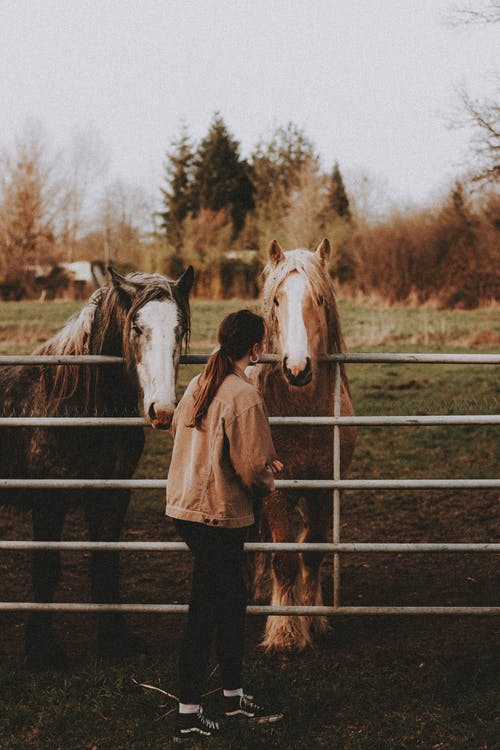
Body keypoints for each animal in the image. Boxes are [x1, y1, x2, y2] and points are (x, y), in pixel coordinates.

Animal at [0, 268, 193, 668]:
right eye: (136, 327)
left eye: (180, 327)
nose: (163, 411)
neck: (75, 405)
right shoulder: (49, 502)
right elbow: (46, 570)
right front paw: (42, 649)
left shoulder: (111, 496)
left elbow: (106, 565)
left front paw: (116, 640)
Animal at [250, 241, 356, 652]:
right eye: (278, 300)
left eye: (320, 299)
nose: (297, 369)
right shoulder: (276, 494)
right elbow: (284, 561)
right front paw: (285, 630)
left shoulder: (324, 489)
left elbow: (311, 552)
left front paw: (313, 618)